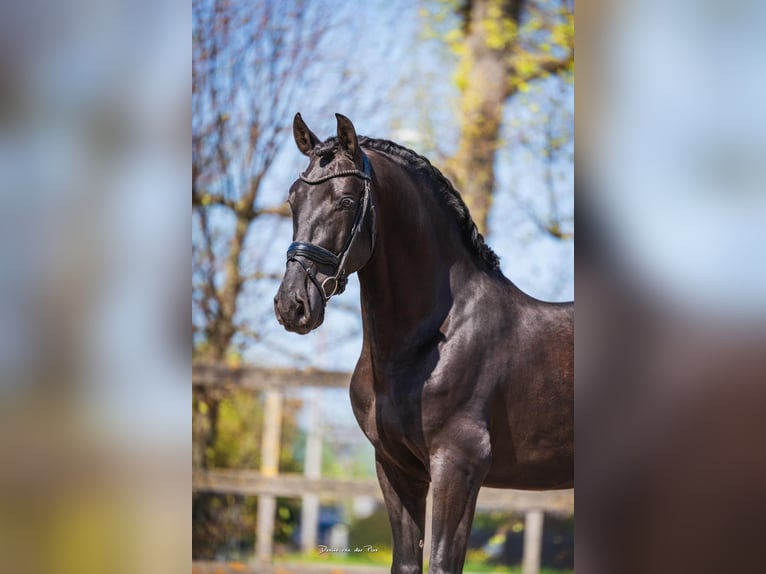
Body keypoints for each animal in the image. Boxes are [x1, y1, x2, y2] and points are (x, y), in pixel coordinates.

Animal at [274, 113, 574, 574]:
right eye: (293, 199)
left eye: (346, 201)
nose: (293, 305)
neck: (431, 340)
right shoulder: (397, 468)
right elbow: (406, 562)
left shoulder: (458, 465)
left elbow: (442, 563)